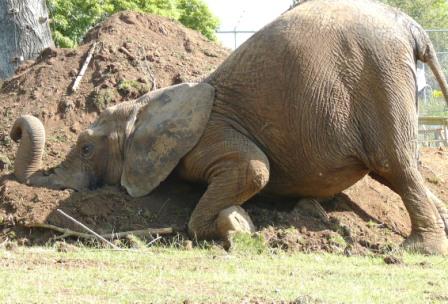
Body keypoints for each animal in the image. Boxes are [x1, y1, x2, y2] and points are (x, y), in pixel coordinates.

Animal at [7, 0, 448, 254]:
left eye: (86, 148)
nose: (14, 130)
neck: (146, 105)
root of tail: (413, 29)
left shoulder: (210, 135)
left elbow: (255, 169)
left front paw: (234, 227)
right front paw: (241, 224)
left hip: (379, 77)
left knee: (396, 165)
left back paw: (415, 249)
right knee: (402, 169)